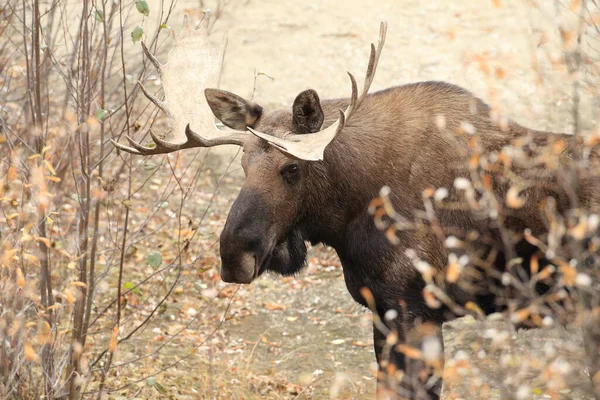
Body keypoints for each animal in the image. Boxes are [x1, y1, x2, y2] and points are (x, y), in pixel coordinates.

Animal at [112, 14, 600, 400]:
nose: (234, 257)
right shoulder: (384, 313)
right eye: (243, 162)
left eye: (291, 167)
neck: (345, 216)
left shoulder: (413, 311)